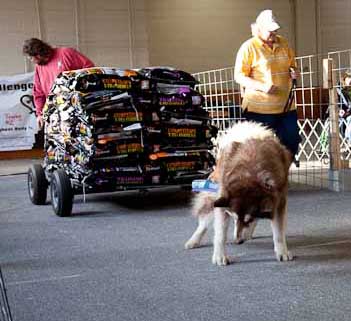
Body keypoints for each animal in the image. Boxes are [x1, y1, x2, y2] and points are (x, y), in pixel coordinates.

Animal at [186, 120, 292, 264]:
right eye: (234, 218)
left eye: (248, 219)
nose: (238, 241)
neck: (250, 174)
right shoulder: (223, 201)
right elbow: (220, 234)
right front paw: (219, 256)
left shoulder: (278, 201)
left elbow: (278, 232)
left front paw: (282, 251)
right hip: (213, 197)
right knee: (204, 222)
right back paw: (194, 240)